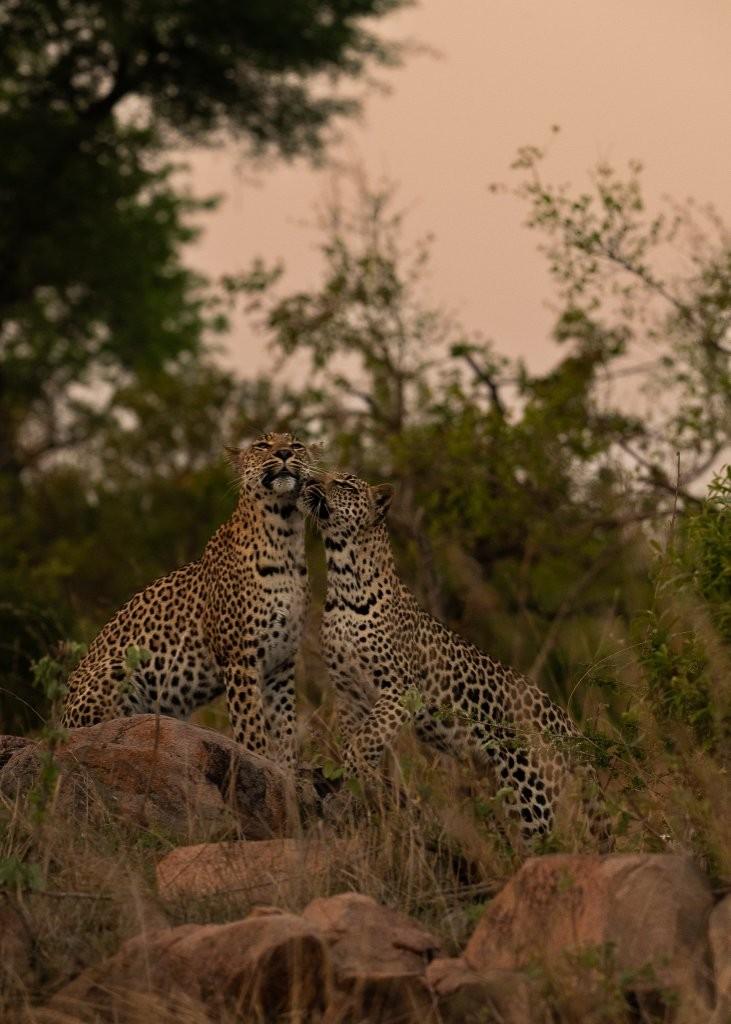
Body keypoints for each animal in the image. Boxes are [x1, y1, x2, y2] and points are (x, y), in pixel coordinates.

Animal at [61, 431, 317, 769]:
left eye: (297, 444)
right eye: (262, 446)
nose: (285, 453)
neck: (286, 536)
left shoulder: (282, 663)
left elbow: (285, 727)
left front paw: (286, 772)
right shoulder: (239, 658)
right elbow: (251, 728)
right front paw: (260, 761)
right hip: (118, 668)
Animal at [300, 471, 610, 844]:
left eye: (344, 484)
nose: (309, 478)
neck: (343, 578)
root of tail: (566, 723)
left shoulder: (398, 689)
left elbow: (367, 737)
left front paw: (354, 769)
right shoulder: (347, 692)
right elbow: (357, 734)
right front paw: (354, 777)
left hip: (532, 787)